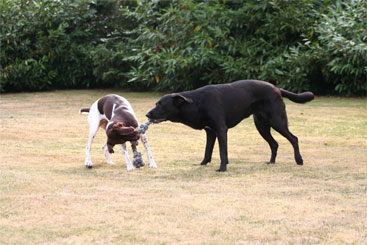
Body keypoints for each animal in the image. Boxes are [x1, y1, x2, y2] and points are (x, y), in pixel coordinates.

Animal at [146, 79, 314, 171]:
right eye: (156, 103)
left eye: (161, 105)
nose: (147, 114)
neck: (197, 103)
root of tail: (276, 88)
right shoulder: (211, 132)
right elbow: (208, 151)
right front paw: (202, 164)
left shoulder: (221, 130)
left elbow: (222, 151)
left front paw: (222, 168)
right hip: (261, 126)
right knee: (274, 144)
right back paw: (271, 162)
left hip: (277, 121)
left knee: (294, 138)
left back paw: (299, 160)